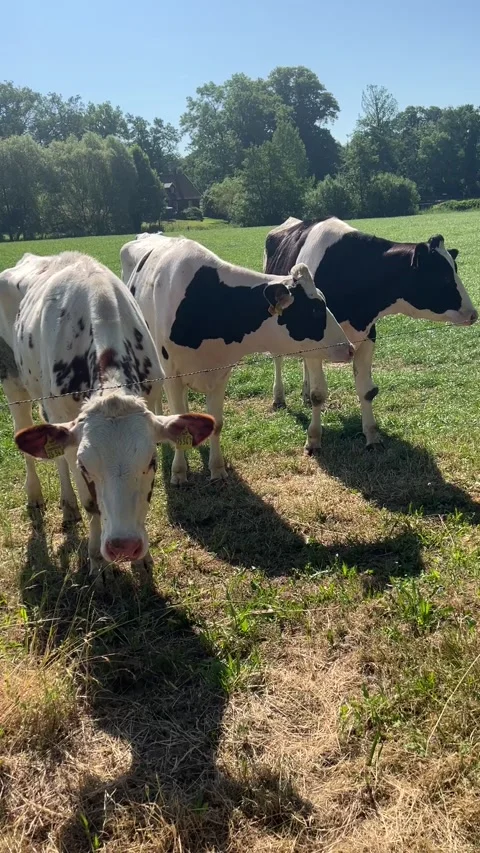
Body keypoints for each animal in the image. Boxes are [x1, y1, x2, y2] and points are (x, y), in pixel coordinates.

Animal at [0, 251, 214, 576]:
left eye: (151, 462)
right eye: (86, 466)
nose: (123, 546)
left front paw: (142, 560)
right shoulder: (72, 437)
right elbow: (91, 503)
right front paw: (97, 560)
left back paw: (68, 505)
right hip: (14, 384)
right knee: (27, 440)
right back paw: (36, 495)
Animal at [120, 233, 354, 484]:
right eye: (316, 311)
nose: (349, 348)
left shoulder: (220, 373)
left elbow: (216, 423)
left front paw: (217, 469)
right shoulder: (173, 374)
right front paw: (179, 472)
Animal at [264, 217, 478, 448]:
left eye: (455, 270)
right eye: (444, 277)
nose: (473, 314)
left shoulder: (368, 335)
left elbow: (366, 390)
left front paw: (372, 436)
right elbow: (318, 394)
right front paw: (313, 439)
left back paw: (303, 394)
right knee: (278, 358)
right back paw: (279, 398)